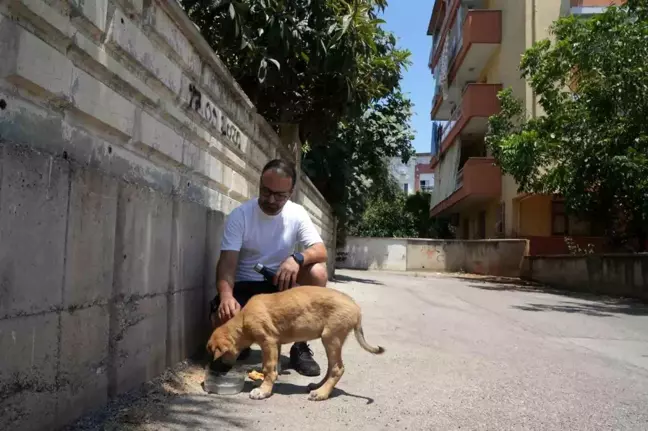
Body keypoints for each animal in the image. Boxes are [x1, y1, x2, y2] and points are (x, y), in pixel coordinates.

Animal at [205, 286, 382, 402]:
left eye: (215, 355)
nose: (213, 370)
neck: (242, 321)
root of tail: (357, 308)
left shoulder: (268, 342)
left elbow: (267, 368)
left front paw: (263, 391)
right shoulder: (275, 343)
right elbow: (273, 367)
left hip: (331, 338)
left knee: (338, 368)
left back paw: (321, 393)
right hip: (331, 341)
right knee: (332, 367)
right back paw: (318, 386)